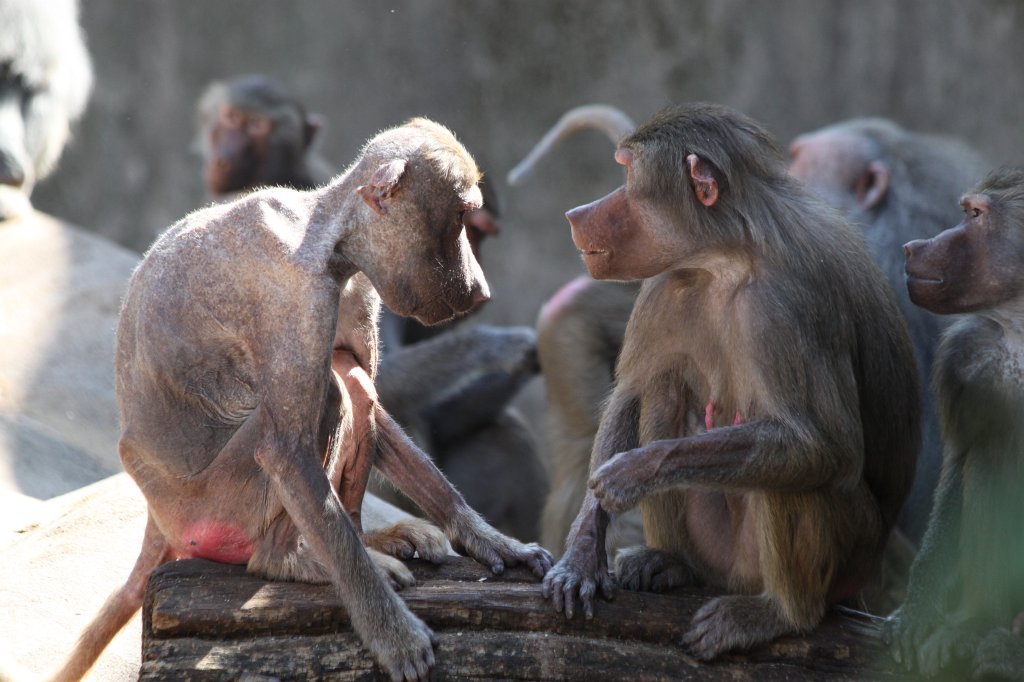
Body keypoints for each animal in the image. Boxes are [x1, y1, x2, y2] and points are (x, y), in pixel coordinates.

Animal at [50, 118, 553, 682]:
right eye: (463, 218)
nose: (480, 289)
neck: (330, 239)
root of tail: (158, 518)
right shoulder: (298, 303)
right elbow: (285, 450)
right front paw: (393, 636)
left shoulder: (359, 290)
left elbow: (377, 408)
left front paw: (491, 540)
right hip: (217, 507)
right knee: (332, 396)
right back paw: (287, 561)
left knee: (353, 385)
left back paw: (366, 540)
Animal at [541, 103, 920, 660]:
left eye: (626, 177)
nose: (575, 214)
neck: (730, 255)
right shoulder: (664, 284)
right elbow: (631, 395)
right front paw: (583, 554)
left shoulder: (788, 305)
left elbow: (826, 446)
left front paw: (636, 470)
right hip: (720, 554)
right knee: (663, 394)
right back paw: (674, 564)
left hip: (843, 560)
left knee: (799, 471)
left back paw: (779, 614)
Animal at [885, 167, 1024, 680]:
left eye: (975, 215)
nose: (912, 247)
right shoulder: (965, 352)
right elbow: (961, 461)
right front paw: (918, 610)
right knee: (990, 458)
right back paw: (979, 623)